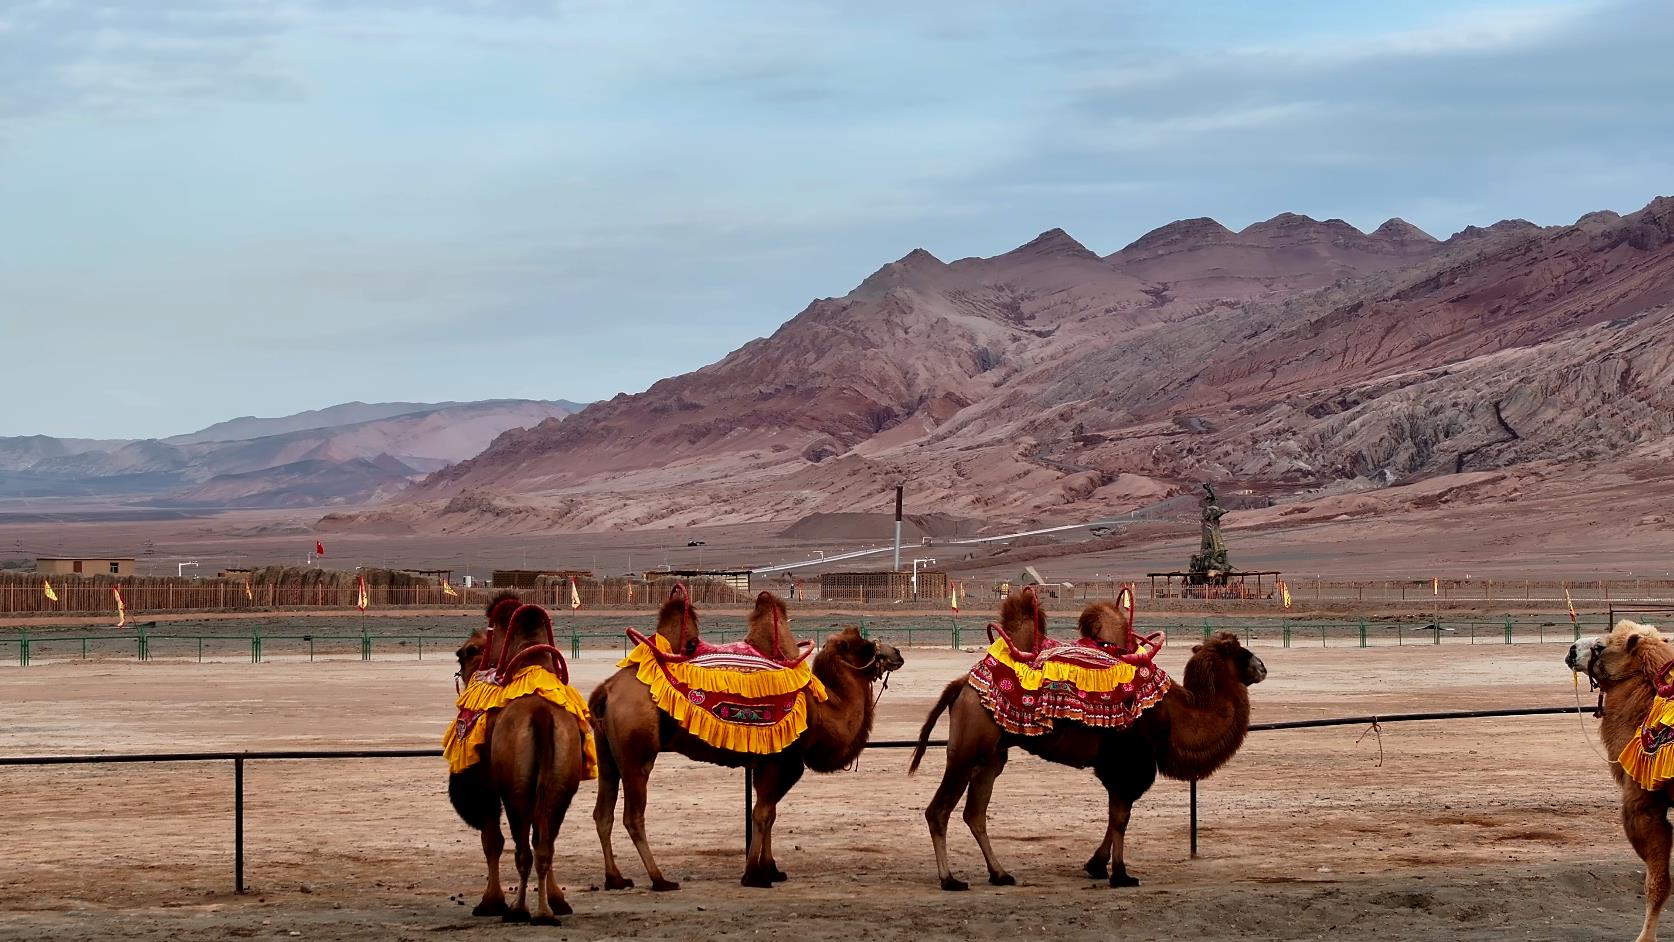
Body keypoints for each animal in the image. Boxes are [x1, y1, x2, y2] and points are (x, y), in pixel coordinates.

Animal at [589, 592, 903, 890]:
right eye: (866, 645)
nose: (897, 652)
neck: (820, 710)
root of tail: (607, 688)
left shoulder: (773, 763)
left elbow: (770, 813)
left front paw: (772, 869)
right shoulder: (780, 759)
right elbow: (762, 813)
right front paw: (754, 874)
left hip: (607, 754)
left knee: (602, 814)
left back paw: (615, 879)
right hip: (636, 755)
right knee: (633, 816)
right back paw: (660, 880)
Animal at [917, 588, 1265, 890]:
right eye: (1238, 650)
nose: (1261, 666)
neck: (1175, 713)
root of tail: (963, 683)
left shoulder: (1116, 766)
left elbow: (1115, 817)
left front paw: (1096, 865)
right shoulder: (1131, 760)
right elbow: (1121, 818)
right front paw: (1121, 875)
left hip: (991, 756)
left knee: (974, 813)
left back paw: (1000, 874)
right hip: (966, 748)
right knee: (939, 811)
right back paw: (950, 880)